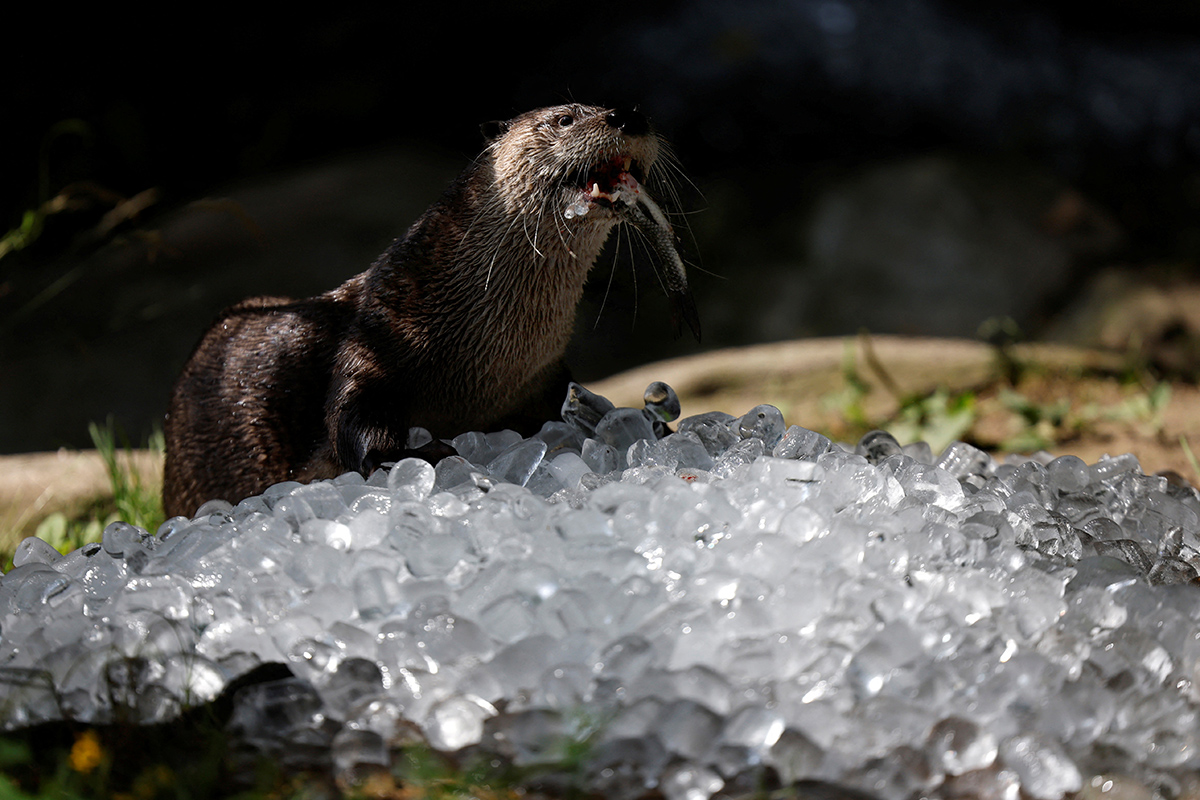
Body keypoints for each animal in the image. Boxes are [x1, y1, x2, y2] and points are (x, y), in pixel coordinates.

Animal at [164, 104, 700, 520]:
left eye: (611, 106)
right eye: (564, 119)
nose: (629, 116)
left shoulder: (542, 375)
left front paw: (652, 429)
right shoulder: (374, 337)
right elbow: (352, 422)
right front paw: (414, 456)